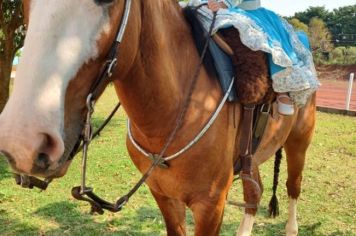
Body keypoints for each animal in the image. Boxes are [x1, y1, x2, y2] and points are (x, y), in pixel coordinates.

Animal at [0, 0, 314, 235]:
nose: (22, 142)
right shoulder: (164, 197)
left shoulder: (211, 206)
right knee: (254, 194)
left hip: (299, 142)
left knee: (293, 188)